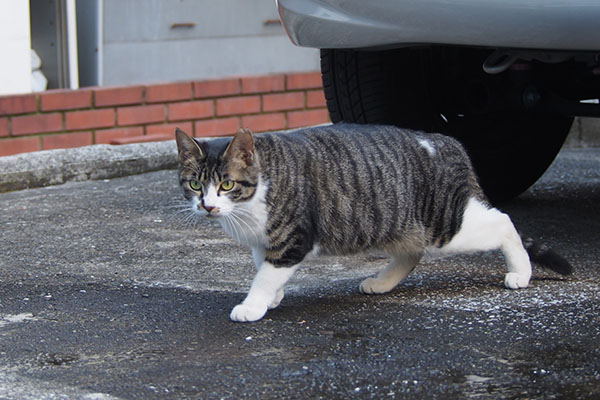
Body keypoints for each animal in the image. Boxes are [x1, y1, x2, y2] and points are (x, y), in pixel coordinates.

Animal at [175, 122, 572, 322]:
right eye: (195, 184)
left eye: (226, 185)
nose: (207, 206)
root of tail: (446, 142)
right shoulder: (265, 240)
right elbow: (264, 268)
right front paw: (273, 297)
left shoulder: (292, 238)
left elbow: (266, 275)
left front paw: (254, 304)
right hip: (396, 223)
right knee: (412, 252)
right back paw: (382, 282)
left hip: (448, 223)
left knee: (503, 221)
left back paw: (521, 272)